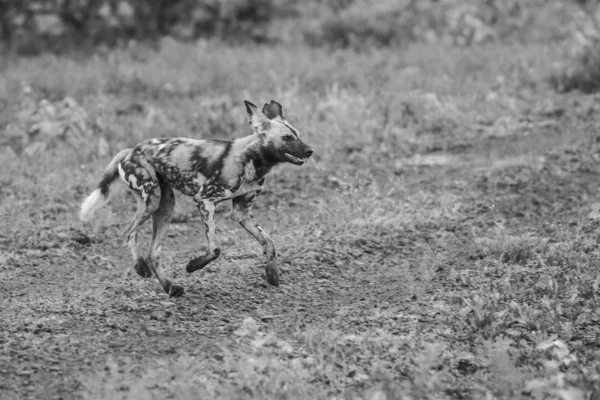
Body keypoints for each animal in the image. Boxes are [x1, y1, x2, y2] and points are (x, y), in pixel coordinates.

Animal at [79, 100, 314, 296]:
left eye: (298, 135)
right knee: (129, 233)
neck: (254, 160)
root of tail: (131, 150)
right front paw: (193, 266)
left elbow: (269, 242)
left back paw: (170, 288)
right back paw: (141, 268)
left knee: (153, 253)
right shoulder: (205, 201)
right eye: (287, 138)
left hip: (166, 207)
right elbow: (216, 248)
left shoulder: (241, 213)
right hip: (151, 200)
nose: (310, 151)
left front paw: (272, 275)